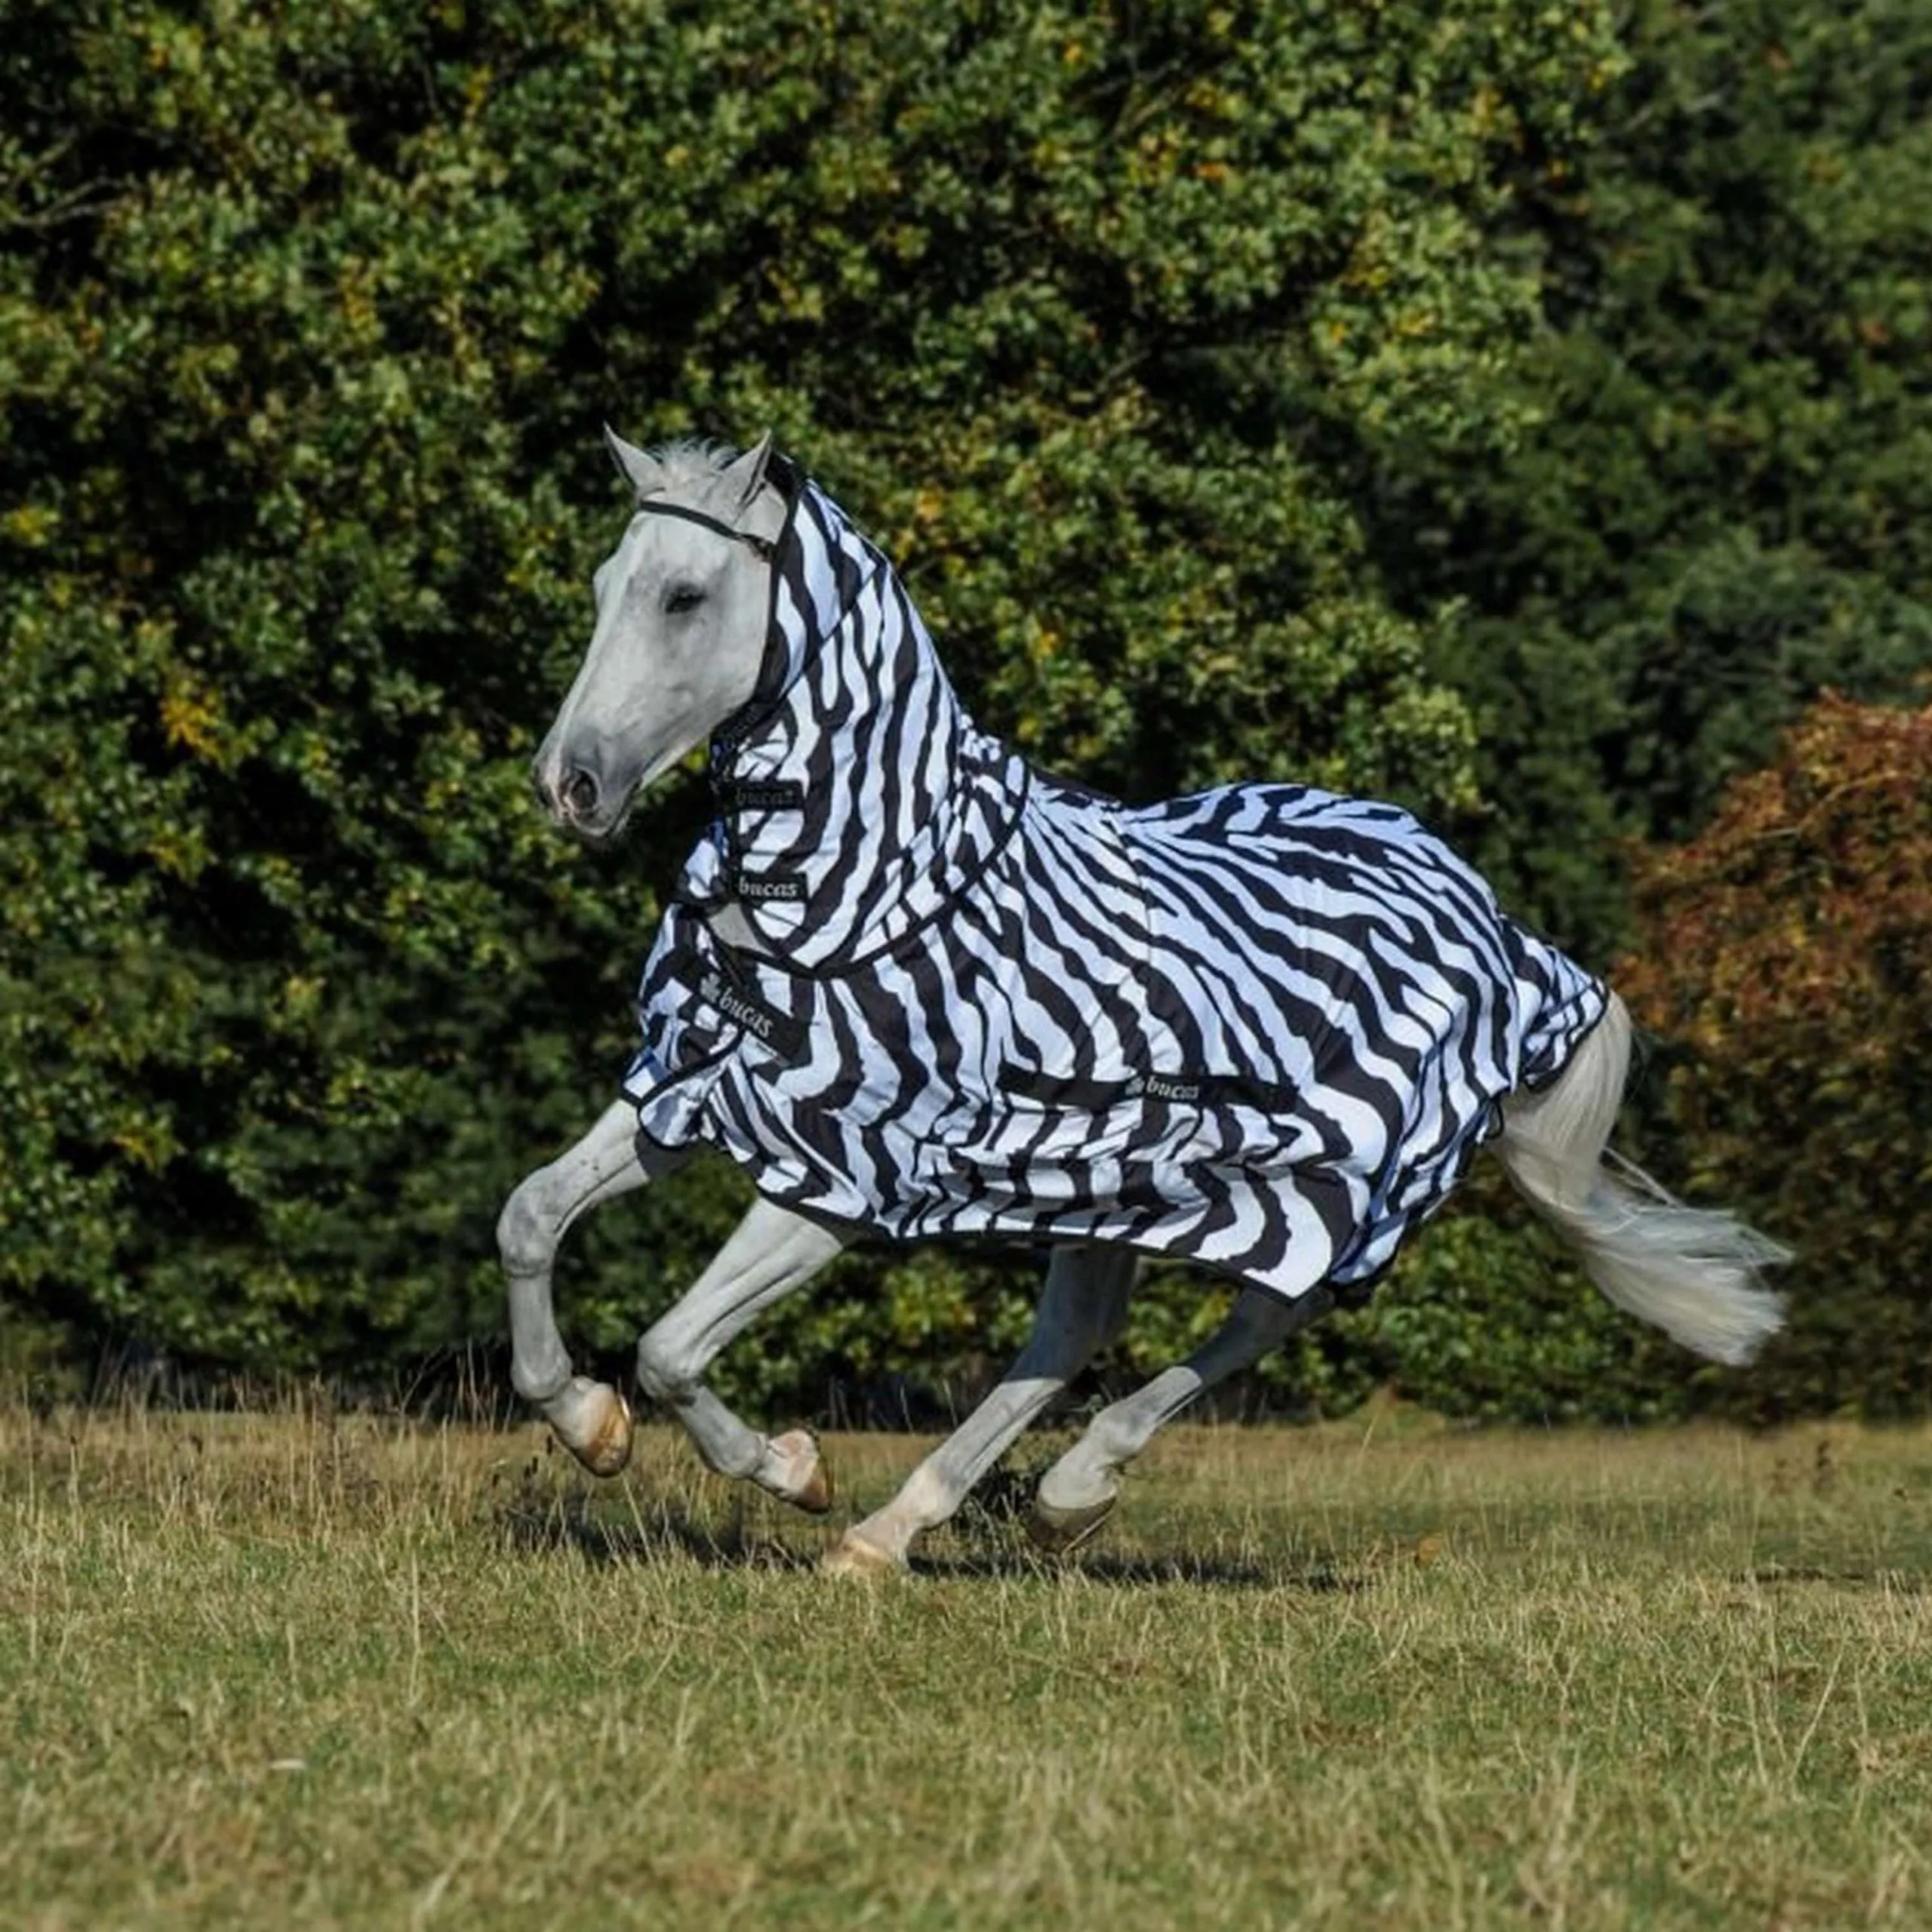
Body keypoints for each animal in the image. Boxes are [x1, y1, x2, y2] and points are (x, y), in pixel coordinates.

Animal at [498, 432, 1786, 1575]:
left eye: (684, 596)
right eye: (607, 584)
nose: (569, 784)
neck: (864, 880)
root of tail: (1500, 928)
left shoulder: (847, 1171)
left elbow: (670, 1350)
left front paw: (790, 1468)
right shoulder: (698, 1084)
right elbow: (529, 1219)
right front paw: (587, 1425)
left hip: (1322, 1189)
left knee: (1258, 1319)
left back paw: (1056, 1495)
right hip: (1105, 1184)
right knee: (1070, 1338)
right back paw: (898, 1532)